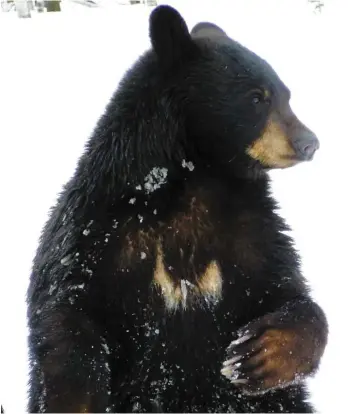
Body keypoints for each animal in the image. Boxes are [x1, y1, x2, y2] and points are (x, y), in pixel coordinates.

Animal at [26, 4, 328, 414]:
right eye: (256, 97)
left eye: (286, 94)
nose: (309, 142)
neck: (193, 186)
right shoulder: (96, 232)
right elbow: (68, 317)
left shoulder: (252, 232)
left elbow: (288, 291)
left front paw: (259, 354)